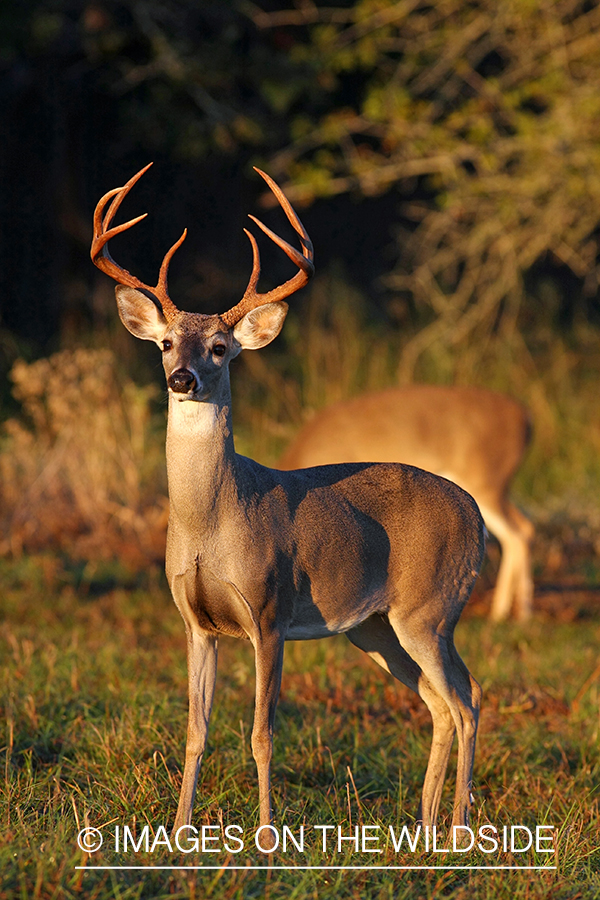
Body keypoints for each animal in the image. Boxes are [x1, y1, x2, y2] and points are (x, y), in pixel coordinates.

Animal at [92, 165, 488, 848]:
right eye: (166, 343)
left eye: (219, 347)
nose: (181, 379)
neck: (213, 522)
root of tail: (479, 519)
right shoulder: (195, 621)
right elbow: (194, 732)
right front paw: (180, 833)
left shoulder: (269, 610)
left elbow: (261, 734)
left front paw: (267, 838)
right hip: (375, 628)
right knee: (440, 705)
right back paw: (424, 828)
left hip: (432, 608)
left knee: (467, 701)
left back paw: (458, 832)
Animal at [278, 384, 532, 624]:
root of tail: (525, 420)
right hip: (496, 487)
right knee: (525, 527)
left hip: (484, 481)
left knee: (516, 533)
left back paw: (505, 613)